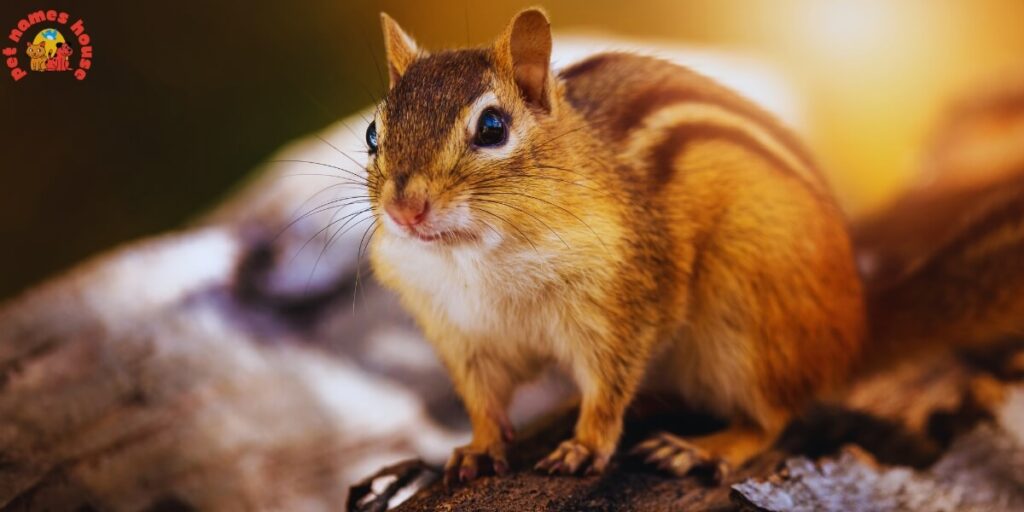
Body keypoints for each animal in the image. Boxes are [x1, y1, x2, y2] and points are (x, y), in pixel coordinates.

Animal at [365, 8, 1021, 484]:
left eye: (493, 128)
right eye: (374, 132)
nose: (404, 208)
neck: (476, 255)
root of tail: (854, 332)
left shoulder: (627, 300)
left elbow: (607, 386)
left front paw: (585, 445)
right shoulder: (461, 331)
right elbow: (481, 398)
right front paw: (478, 448)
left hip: (749, 320)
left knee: (774, 416)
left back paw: (704, 447)